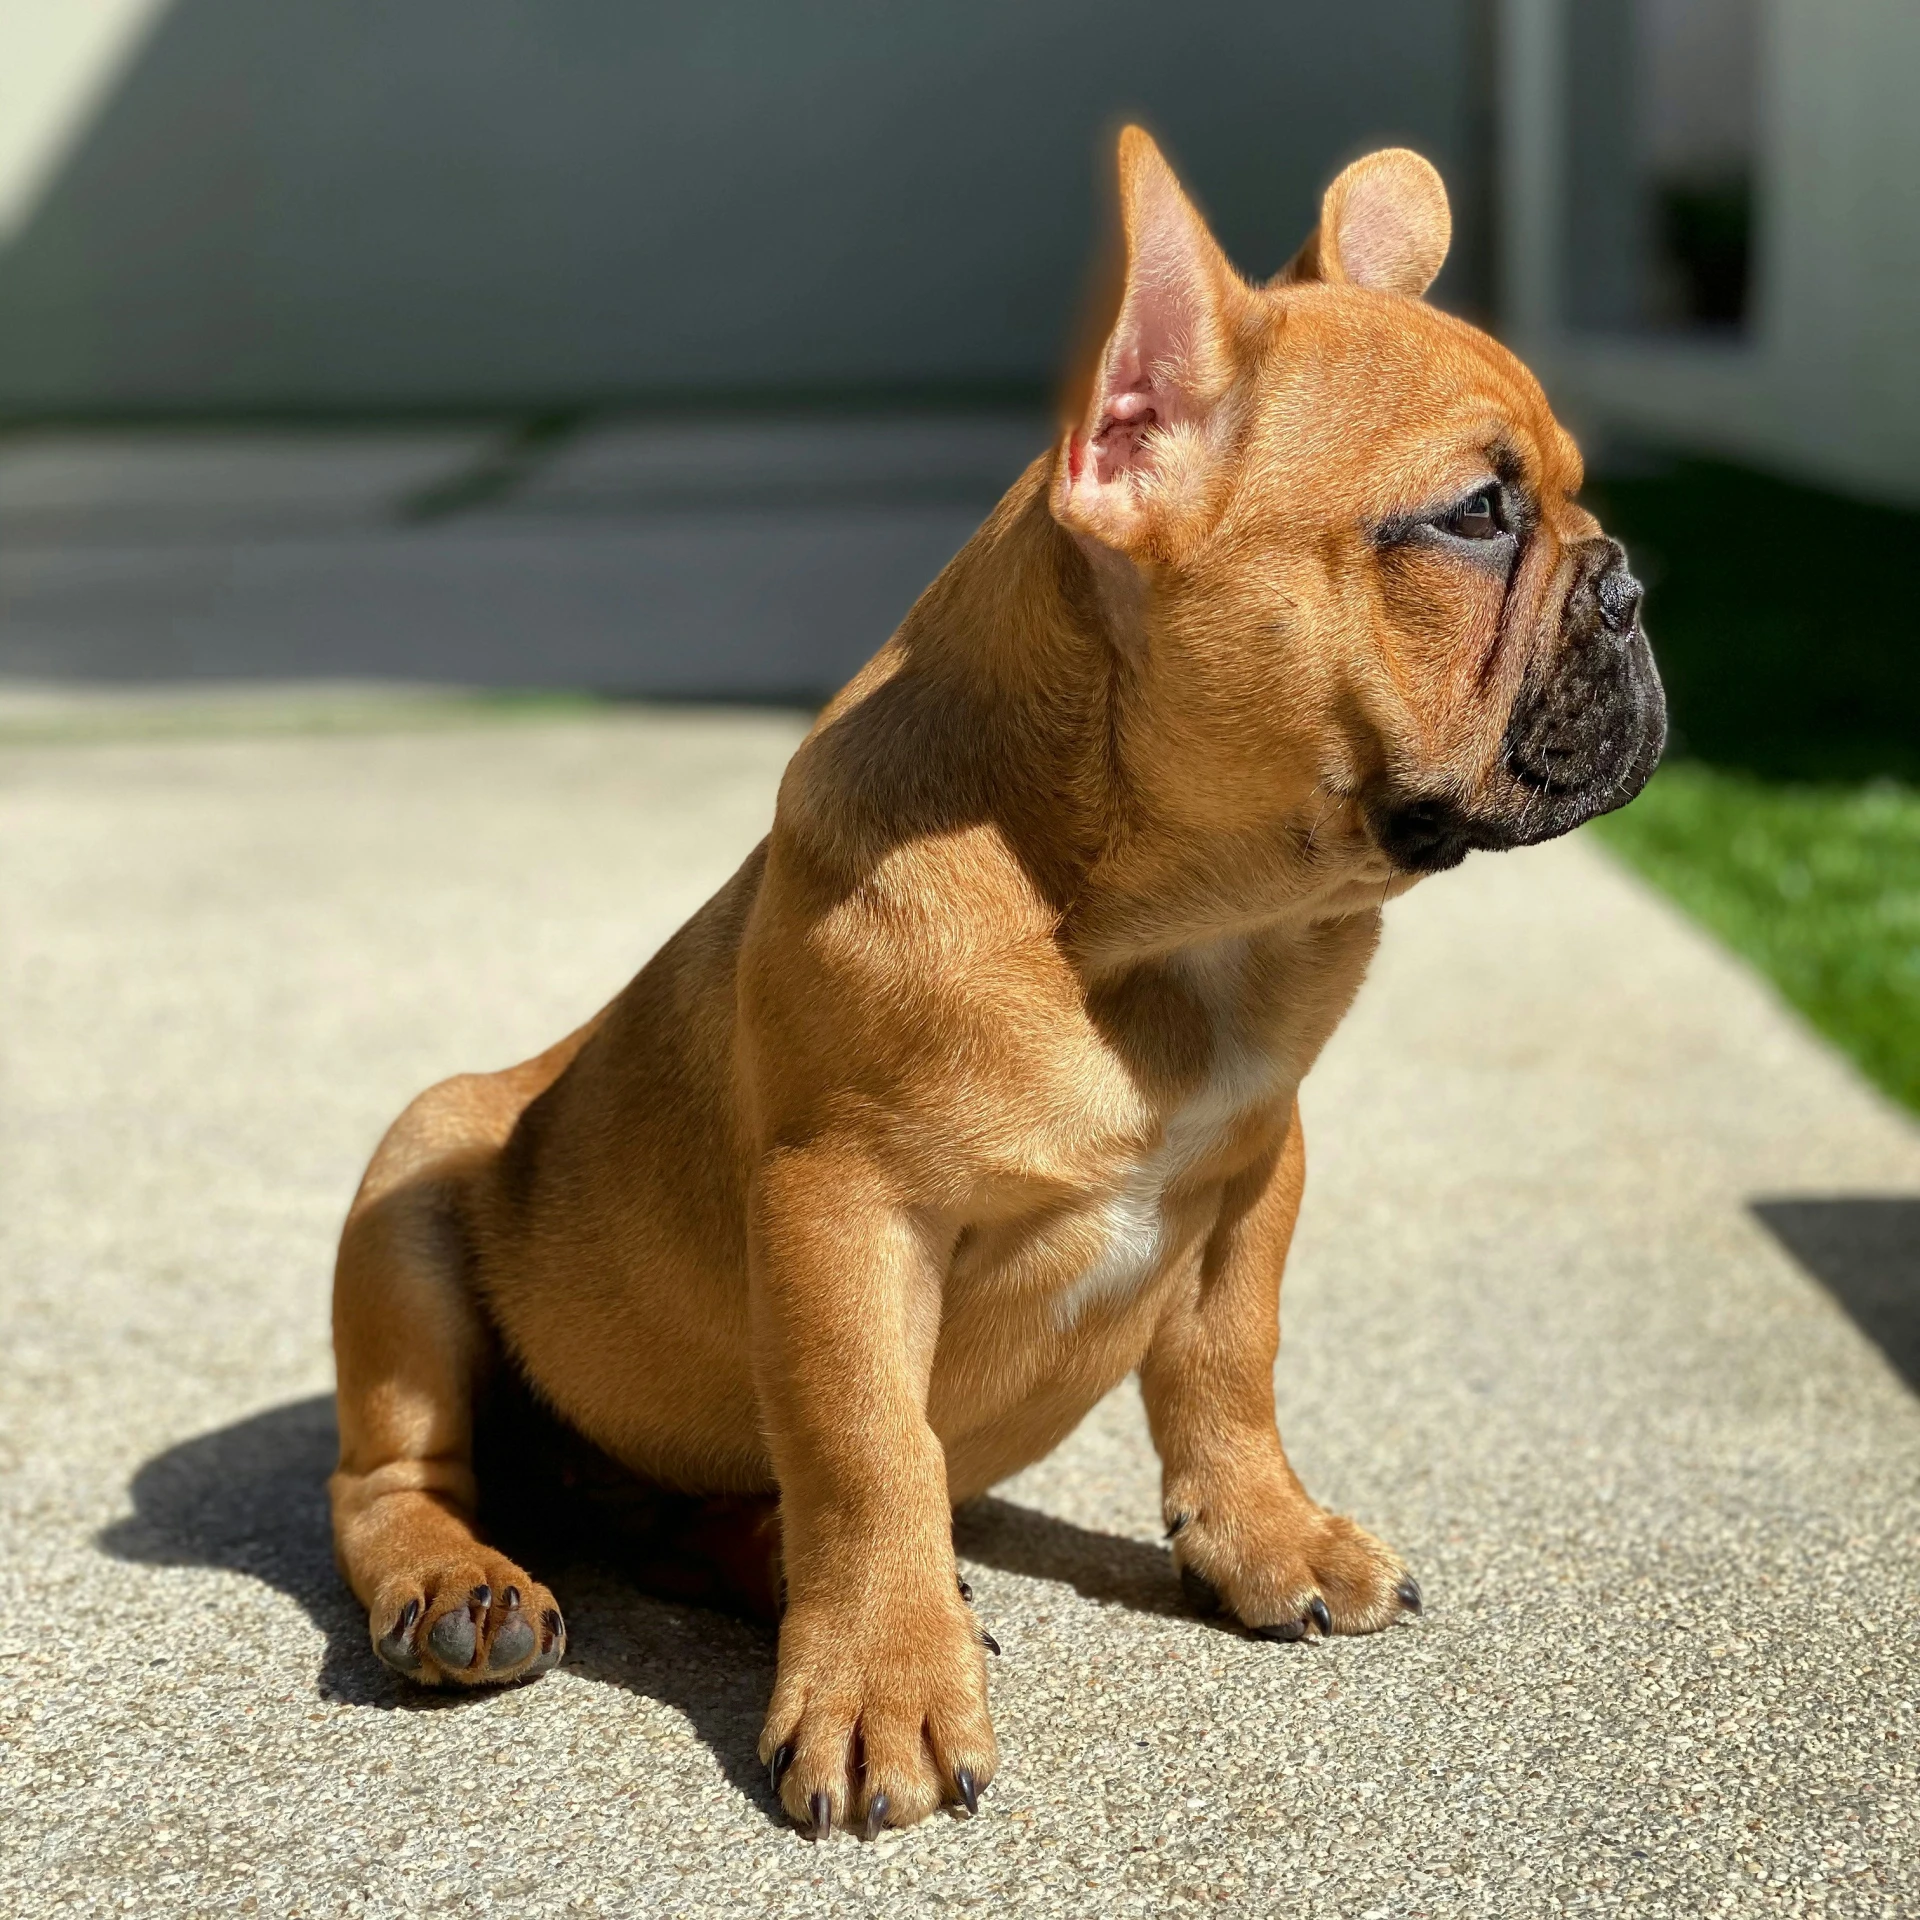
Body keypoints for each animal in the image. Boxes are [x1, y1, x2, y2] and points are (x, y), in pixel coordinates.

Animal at [322, 127, 1658, 1835]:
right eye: (1477, 514)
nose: (1629, 584)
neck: (1163, 939)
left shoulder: (1262, 1161)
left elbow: (1228, 1363)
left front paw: (1266, 1537)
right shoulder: (842, 1210)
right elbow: (867, 1448)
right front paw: (883, 1689)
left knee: (695, 1521)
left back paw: (771, 1563)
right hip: (414, 1184)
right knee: (392, 1476)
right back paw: (462, 1585)